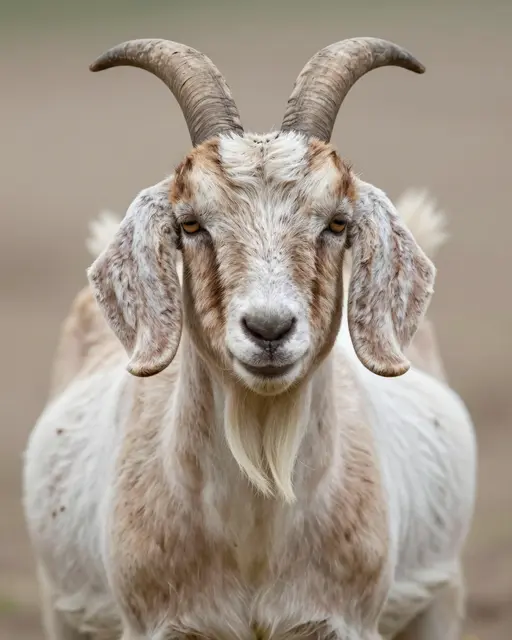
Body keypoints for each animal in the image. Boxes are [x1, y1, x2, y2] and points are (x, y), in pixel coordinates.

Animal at [22, 37, 477, 640]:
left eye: (336, 222)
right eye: (191, 223)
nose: (268, 328)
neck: (257, 538)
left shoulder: (346, 621)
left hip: (440, 600)